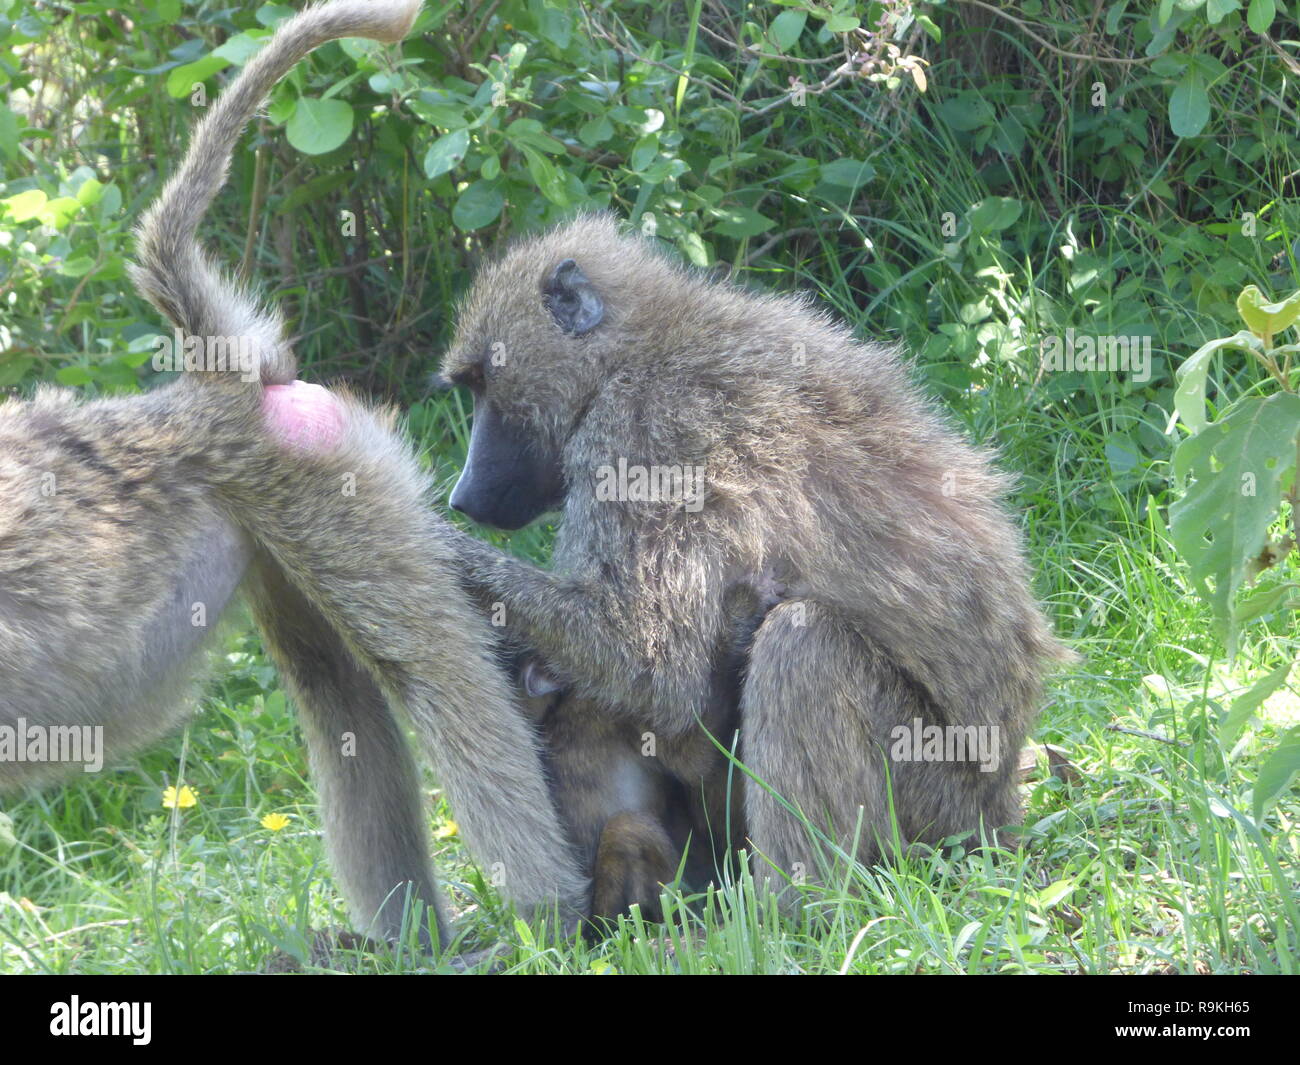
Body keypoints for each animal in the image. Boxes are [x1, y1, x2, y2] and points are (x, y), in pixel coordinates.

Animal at [0, 0, 587, 954]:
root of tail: (224, 377)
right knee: (334, 687)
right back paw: (410, 943)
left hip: (330, 484)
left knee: (428, 673)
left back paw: (548, 919)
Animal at [439, 213, 1074, 900]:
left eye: (482, 385)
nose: (461, 497)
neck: (639, 347)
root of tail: (1001, 807)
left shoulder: (643, 435)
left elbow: (650, 662)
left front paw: (438, 546)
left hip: (938, 801)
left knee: (803, 645)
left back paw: (804, 906)